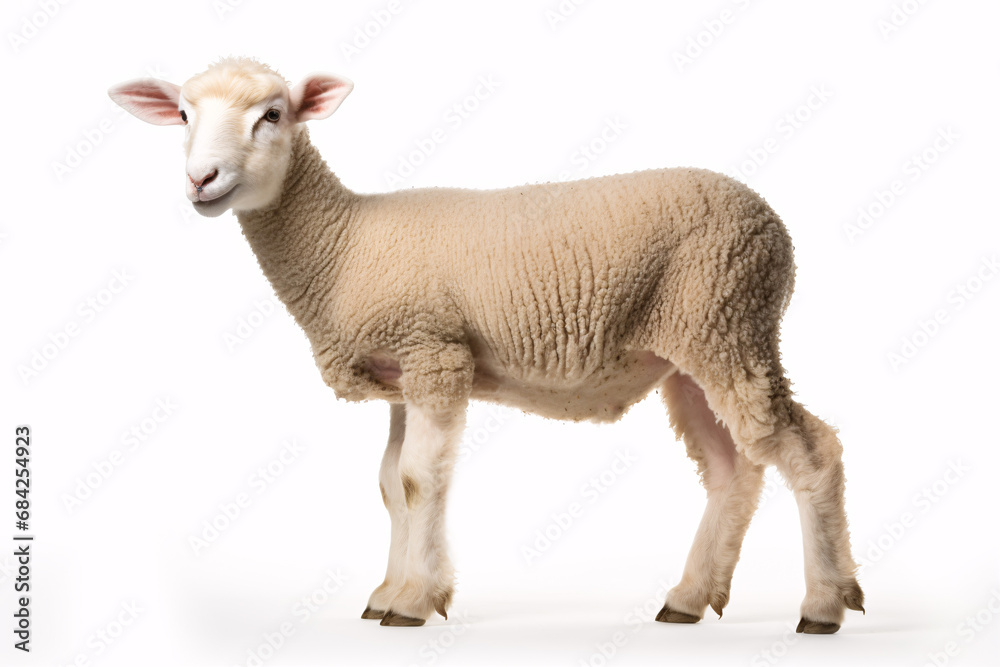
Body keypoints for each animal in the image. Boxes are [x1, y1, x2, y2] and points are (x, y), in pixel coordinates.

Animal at [108, 57, 864, 632]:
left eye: (271, 115)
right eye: (183, 116)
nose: (200, 180)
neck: (343, 245)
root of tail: (776, 229)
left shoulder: (435, 354)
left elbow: (421, 479)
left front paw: (415, 601)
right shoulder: (402, 372)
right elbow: (390, 483)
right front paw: (387, 592)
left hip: (729, 320)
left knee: (810, 451)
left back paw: (824, 604)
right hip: (690, 348)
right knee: (733, 469)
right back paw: (688, 598)